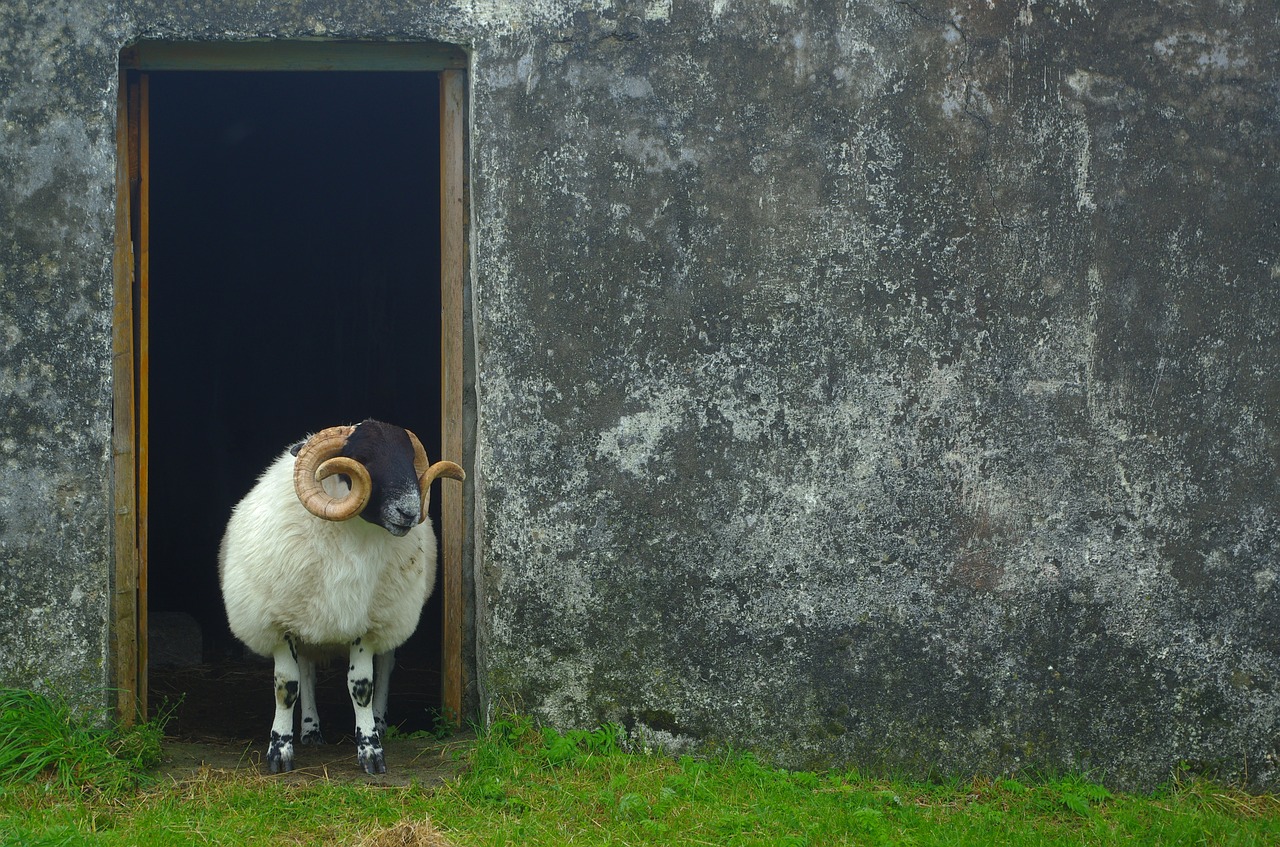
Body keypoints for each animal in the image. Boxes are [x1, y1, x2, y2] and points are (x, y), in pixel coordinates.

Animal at [218, 419, 465, 777]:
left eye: (409, 458)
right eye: (361, 458)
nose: (408, 512)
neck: (350, 537)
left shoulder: (368, 624)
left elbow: (362, 686)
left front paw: (370, 750)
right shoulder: (280, 624)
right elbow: (287, 686)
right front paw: (279, 751)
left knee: (385, 667)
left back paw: (378, 721)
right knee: (307, 673)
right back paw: (310, 730)